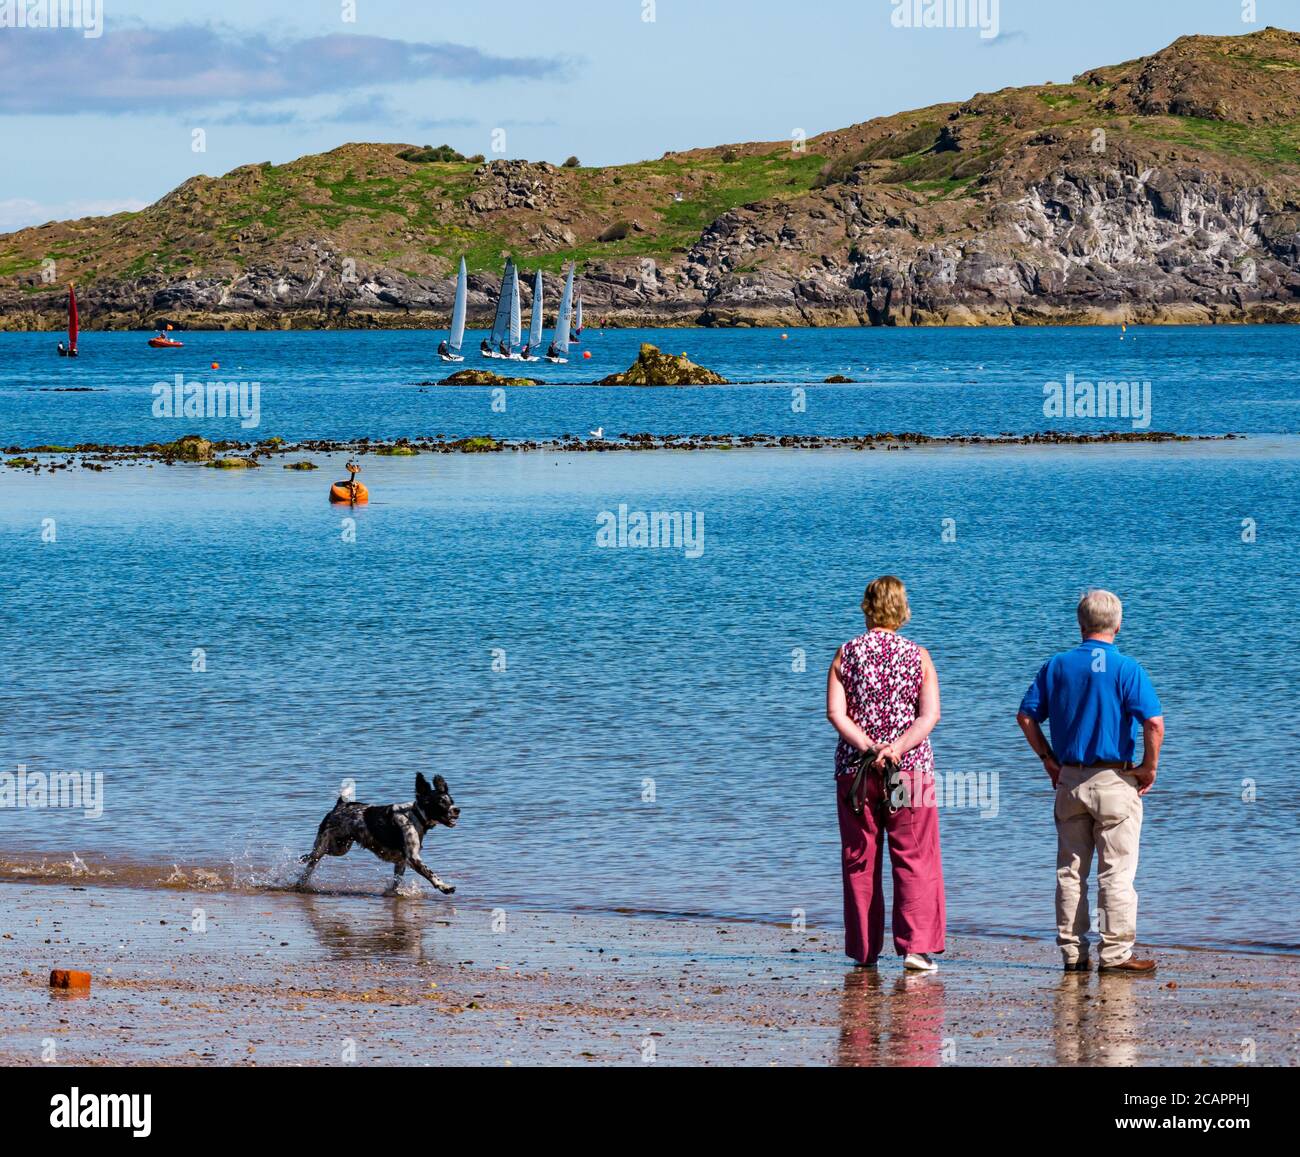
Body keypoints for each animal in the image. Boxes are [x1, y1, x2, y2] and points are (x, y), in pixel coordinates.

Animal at [297, 774, 460, 894]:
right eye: (441, 802)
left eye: (451, 801)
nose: (457, 809)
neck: (415, 815)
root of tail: (341, 804)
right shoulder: (413, 858)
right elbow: (430, 873)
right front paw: (444, 886)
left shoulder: (401, 861)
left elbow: (396, 881)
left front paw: (394, 893)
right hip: (328, 844)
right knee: (313, 857)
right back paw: (303, 862)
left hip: (340, 847)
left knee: (312, 863)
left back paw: (301, 882)